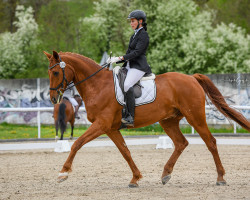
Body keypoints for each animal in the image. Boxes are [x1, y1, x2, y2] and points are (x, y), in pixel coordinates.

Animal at [45, 50, 250, 188]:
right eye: (49, 73)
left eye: (55, 73)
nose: (53, 99)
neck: (98, 85)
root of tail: (192, 78)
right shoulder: (111, 128)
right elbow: (125, 152)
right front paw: (135, 178)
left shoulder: (101, 125)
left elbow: (76, 143)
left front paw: (63, 172)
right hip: (168, 120)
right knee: (181, 143)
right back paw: (166, 174)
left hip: (195, 117)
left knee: (211, 142)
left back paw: (220, 178)